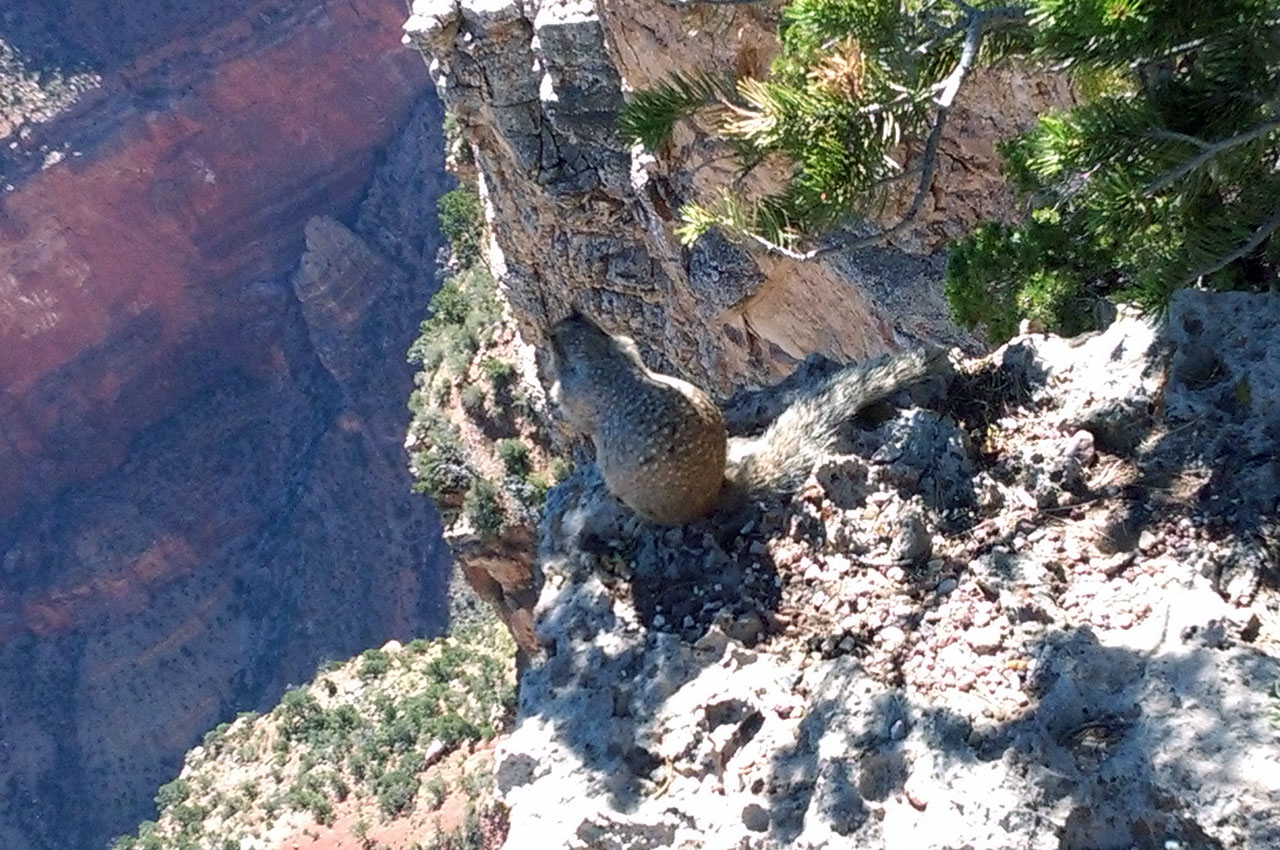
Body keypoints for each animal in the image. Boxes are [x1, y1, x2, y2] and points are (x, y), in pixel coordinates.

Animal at [547, 312, 951, 525]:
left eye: (555, 338)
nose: (558, 324)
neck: (603, 355)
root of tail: (718, 492)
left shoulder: (583, 391)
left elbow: (572, 408)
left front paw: (554, 398)